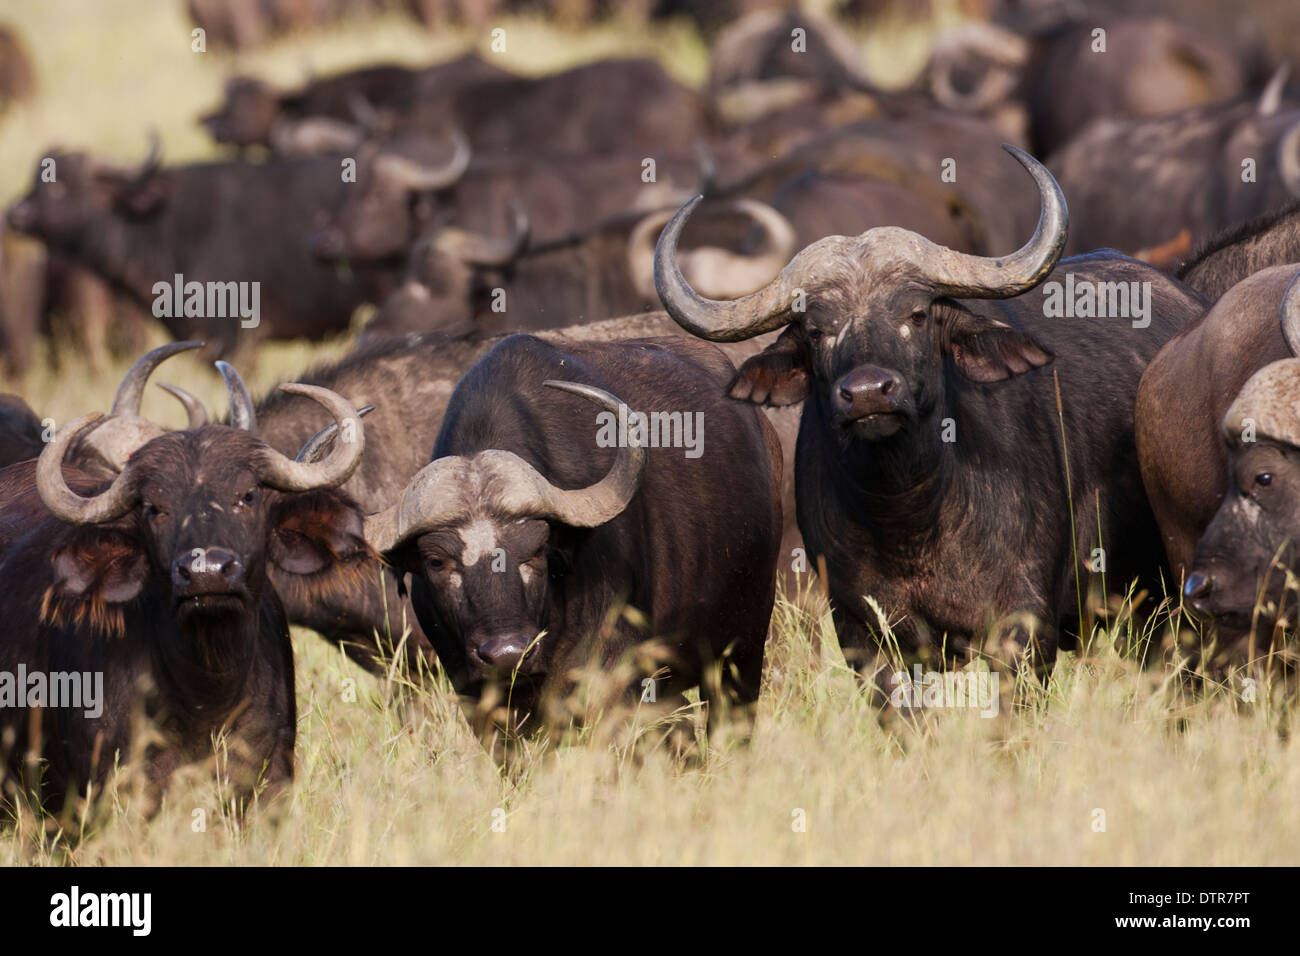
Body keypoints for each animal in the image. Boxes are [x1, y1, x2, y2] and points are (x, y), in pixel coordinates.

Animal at [655, 145, 1201, 686]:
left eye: (916, 315)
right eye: (816, 330)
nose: (868, 394)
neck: (909, 515)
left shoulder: (1022, 630)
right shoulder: (865, 636)